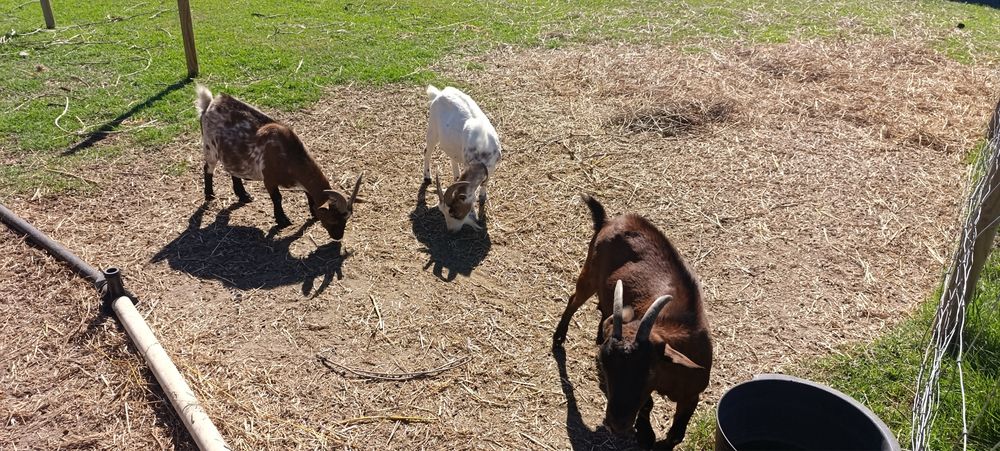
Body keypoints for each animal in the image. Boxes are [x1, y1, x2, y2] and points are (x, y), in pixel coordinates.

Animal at [195, 85, 363, 240]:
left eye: (347, 219)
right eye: (333, 219)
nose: (338, 236)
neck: (288, 154)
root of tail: (209, 103)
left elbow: (308, 193)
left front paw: (312, 213)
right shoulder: (269, 179)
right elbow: (277, 198)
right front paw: (282, 220)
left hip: (230, 154)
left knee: (233, 171)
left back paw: (243, 195)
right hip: (210, 148)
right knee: (207, 168)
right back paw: (210, 195)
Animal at [422, 85, 501, 232]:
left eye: (454, 212)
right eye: (443, 212)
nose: (451, 231)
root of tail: (439, 93)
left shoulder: (491, 167)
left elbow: (484, 187)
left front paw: (482, 199)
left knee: (452, 157)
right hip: (432, 129)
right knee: (427, 152)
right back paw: (427, 177)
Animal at [552, 195, 713, 449]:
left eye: (649, 370)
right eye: (605, 364)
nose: (617, 424)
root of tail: (609, 221)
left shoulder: (691, 394)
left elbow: (677, 433)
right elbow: (648, 405)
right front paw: (645, 434)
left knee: (603, 307)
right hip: (590, 272)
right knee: (575, 299)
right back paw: (559, 337)